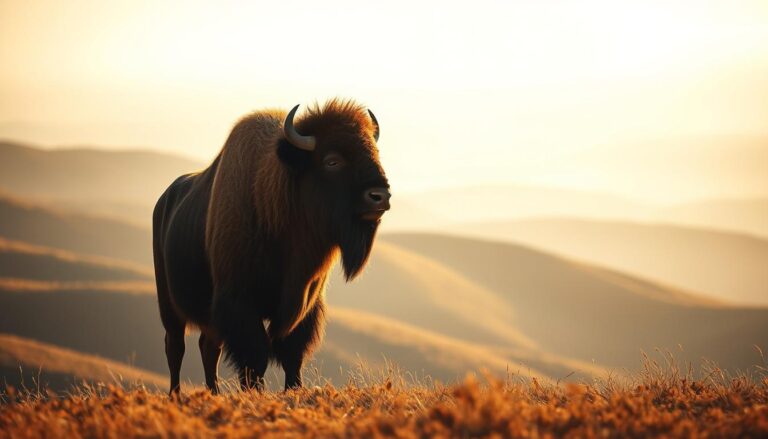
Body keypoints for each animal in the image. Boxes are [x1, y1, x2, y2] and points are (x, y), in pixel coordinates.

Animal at [152, 100, 390, 394]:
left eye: (375, 152)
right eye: (332, 160)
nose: (380, 196)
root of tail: (164, 201)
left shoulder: (306, 305)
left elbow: (292, 354)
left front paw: (293, 390)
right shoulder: (240, 303)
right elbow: (256, 356)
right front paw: (256, 391)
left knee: (208, 348)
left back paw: (214, 393)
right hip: (169, 308)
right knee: (175, 348)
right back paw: (176, 395)